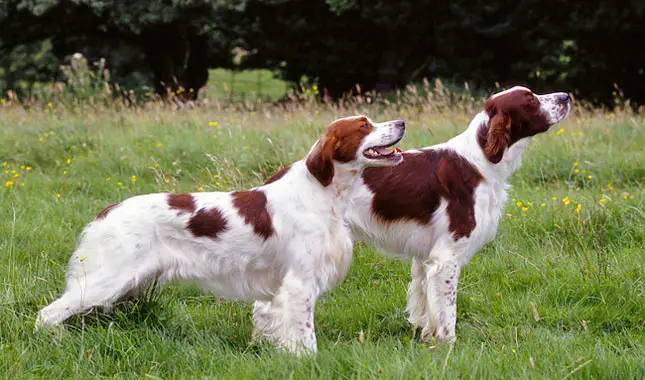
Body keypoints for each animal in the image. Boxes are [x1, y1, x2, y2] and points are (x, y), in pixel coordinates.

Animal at [36, 114, 402, 354]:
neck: (322, 192)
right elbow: (304, 336)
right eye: (365, 125)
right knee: (47, 315)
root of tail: (107, 213)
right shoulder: (300, 282)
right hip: (105, 280)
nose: (401, 123)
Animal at [344, 87, 572, 344]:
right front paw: (448, 344)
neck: (480, 161)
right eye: (531, 99)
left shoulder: (424, 258)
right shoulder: (446, 257)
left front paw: (426, 337)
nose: (565, 96)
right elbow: (447, 312)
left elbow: (424, 306)